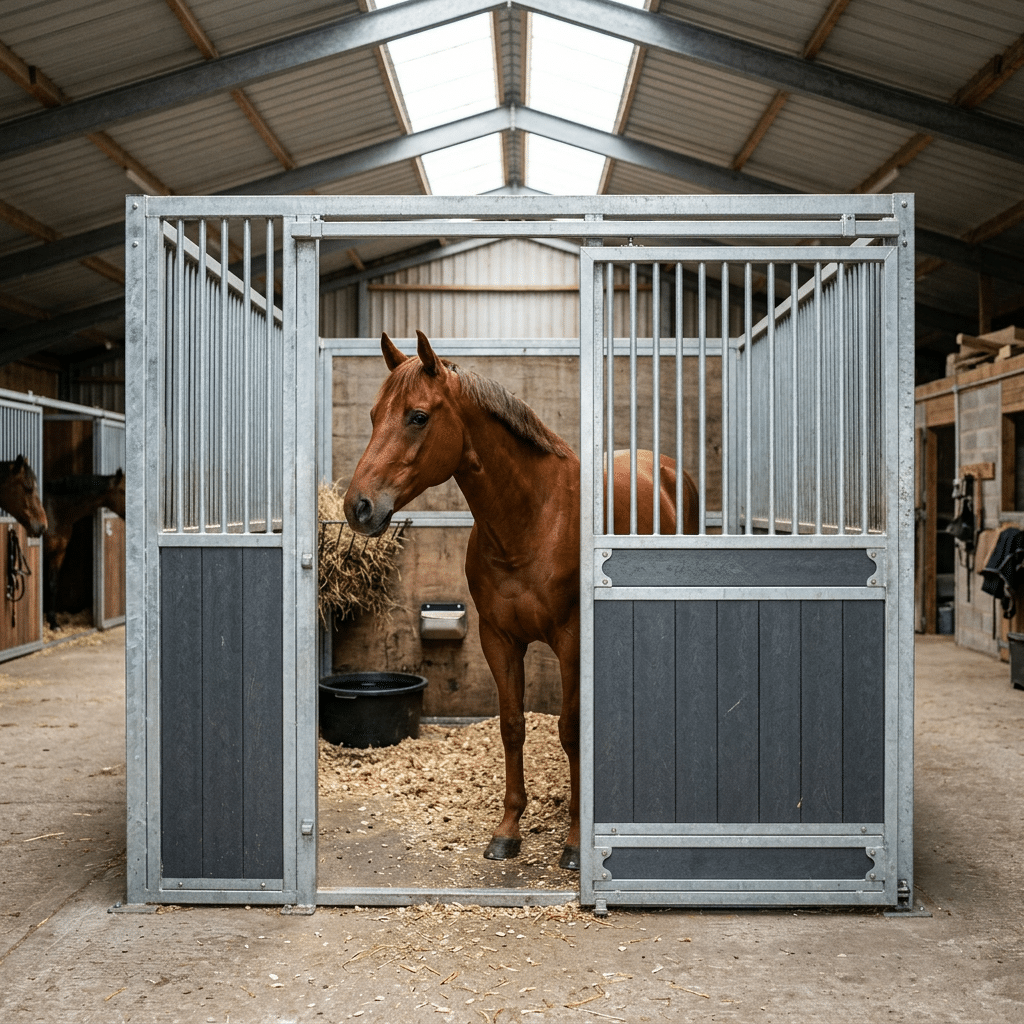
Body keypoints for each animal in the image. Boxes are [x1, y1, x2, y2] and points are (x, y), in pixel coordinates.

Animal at [344, 331, 697, 872]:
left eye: (417, 416)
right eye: (372, 415)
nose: (357, 507)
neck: (532, 518)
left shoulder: (570, 640)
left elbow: (571, 730)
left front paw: (575, 842)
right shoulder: (499, 638)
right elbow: (512, 727)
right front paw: (507, 831)